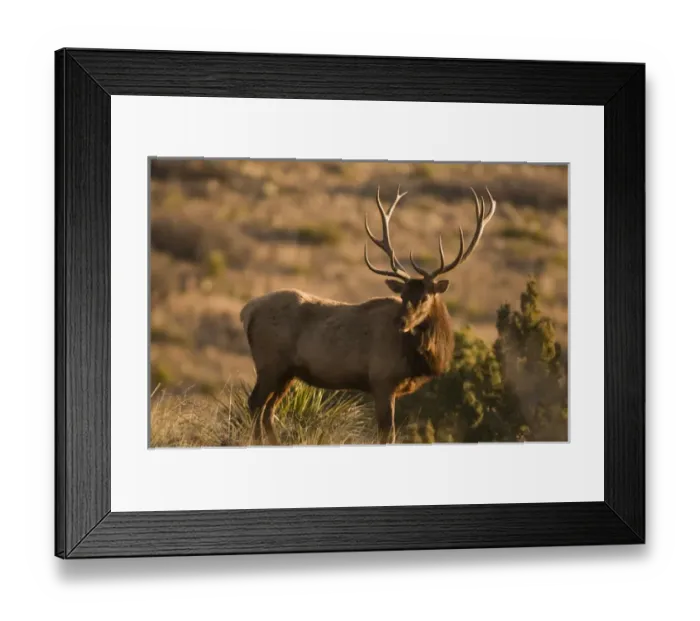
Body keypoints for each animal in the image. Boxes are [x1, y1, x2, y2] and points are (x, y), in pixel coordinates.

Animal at [239, 185, 497, 445]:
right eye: (402, 295)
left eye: (424, 297)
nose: (400, 321)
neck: (419, 360)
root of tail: (247, 310)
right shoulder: (382, 380)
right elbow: (387, 434)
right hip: (270, 363)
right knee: (255, 404)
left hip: (288, 372)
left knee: (268, 410)